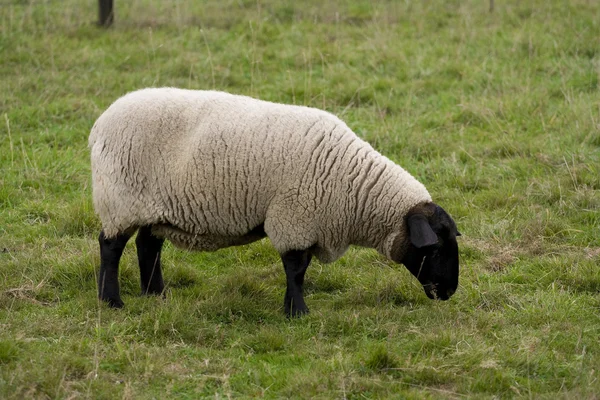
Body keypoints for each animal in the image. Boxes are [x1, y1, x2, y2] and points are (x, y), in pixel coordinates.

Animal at [89, 87, 462, 316]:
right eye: (434, 248)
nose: (449, 292)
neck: (353, 186)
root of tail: (99, 125)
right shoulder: (293, 218)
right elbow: (296, 268)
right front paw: (297, 312)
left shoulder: (306, 222)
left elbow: (300, 268)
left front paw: (293, 309)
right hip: (119, 200)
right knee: (111, 246)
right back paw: (112, 301)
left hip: (151, 207)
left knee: (148, 245)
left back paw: (156, 294)